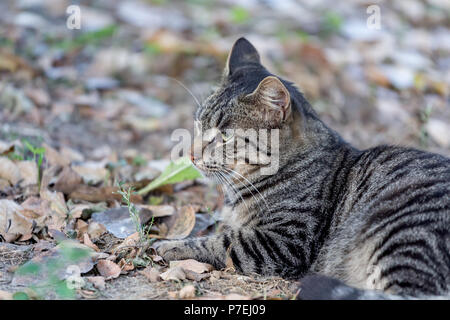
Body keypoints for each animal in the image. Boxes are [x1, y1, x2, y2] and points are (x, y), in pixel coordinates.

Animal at [156, 37, 450, 300]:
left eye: (225, 136)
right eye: (198, 124)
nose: (191, 155)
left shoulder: (285, 241)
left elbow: (221, 241)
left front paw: (168, 245)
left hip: (404, 238)